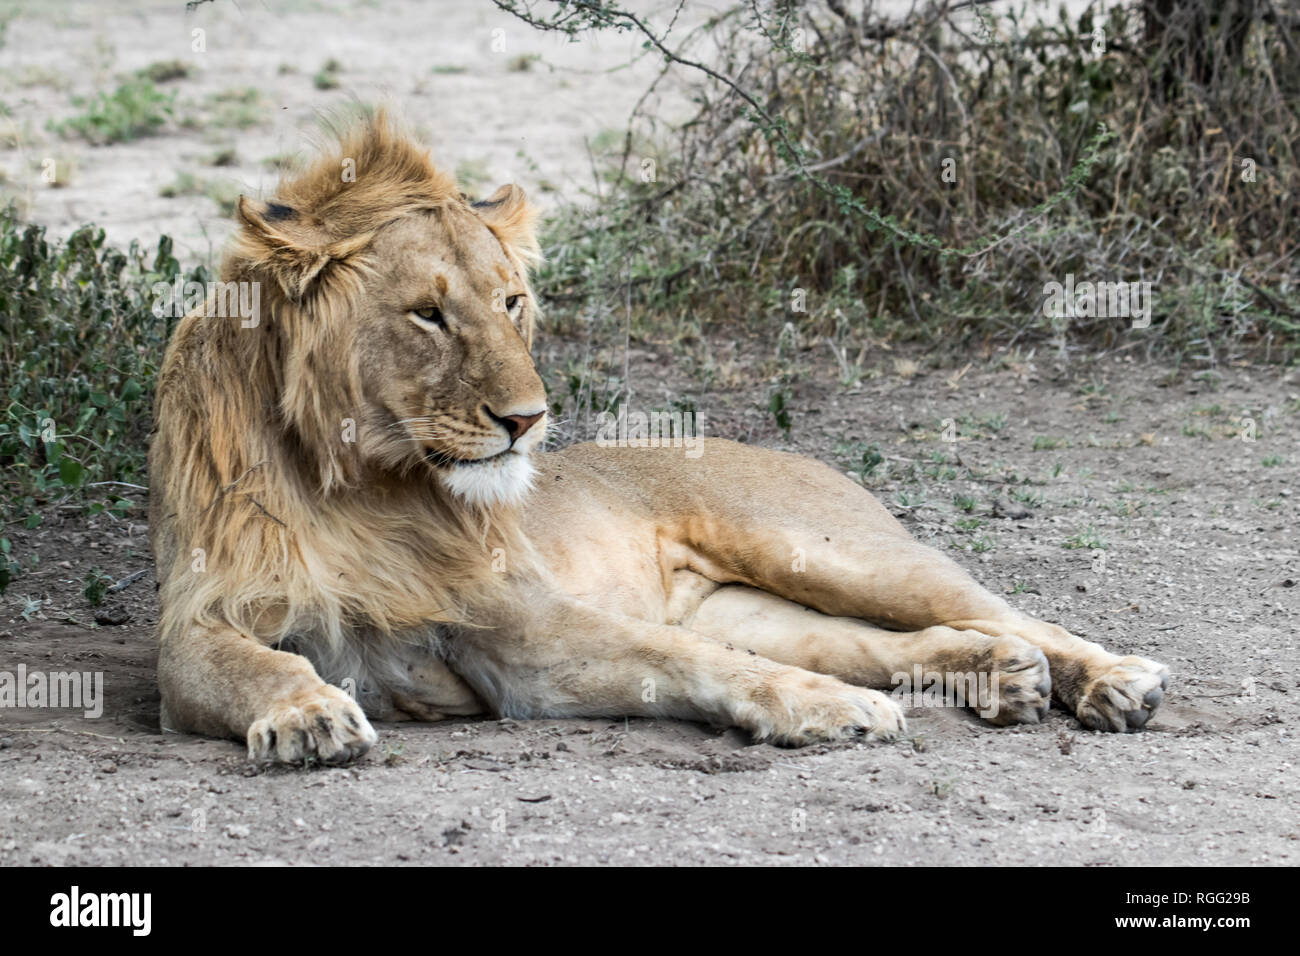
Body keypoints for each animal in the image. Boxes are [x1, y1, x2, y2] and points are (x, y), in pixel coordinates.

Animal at [149, 117, 1170, 764]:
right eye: (428, 315)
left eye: (511, 302)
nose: (528, 420)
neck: (355, 483)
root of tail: (765, 444)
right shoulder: (199, 620)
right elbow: (249, 662)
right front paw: (308, 710)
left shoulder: (517, 628)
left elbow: (694, 667)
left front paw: (825, 712)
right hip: (757, 606)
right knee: (894, 641)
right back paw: (998, 679)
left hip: (832, 551)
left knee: (1006, 610)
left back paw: (1115, 680)